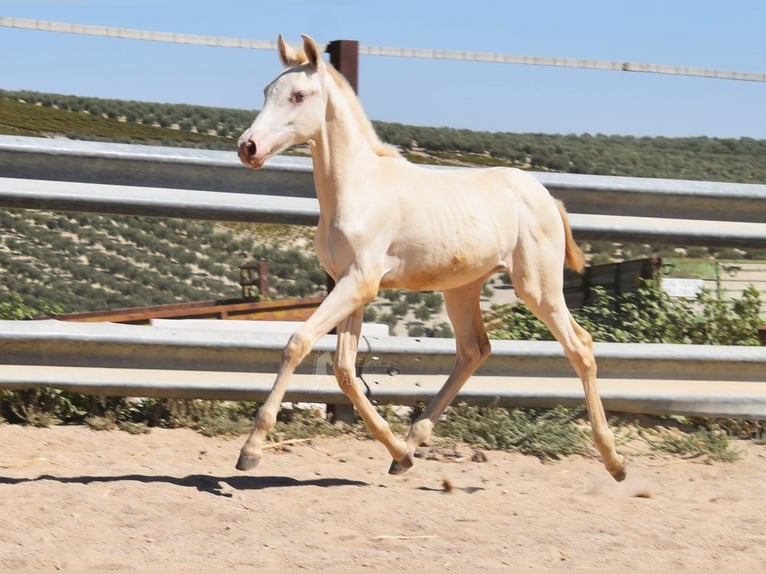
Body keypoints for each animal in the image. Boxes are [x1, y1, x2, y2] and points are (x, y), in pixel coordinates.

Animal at [237, 32, 628, 482]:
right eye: (267, 91)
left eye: (299, 95)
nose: (247, 147)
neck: (357, 189)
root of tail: (547, 197)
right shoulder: (350, 285)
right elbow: (345, 370)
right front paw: (396, 450)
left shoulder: (360, 282)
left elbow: (297, 343)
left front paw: (251, 450)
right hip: (462, 289)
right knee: (474, 350)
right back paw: (408, 447)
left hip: (538, 286)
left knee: (580, 346)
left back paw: (614, 460)